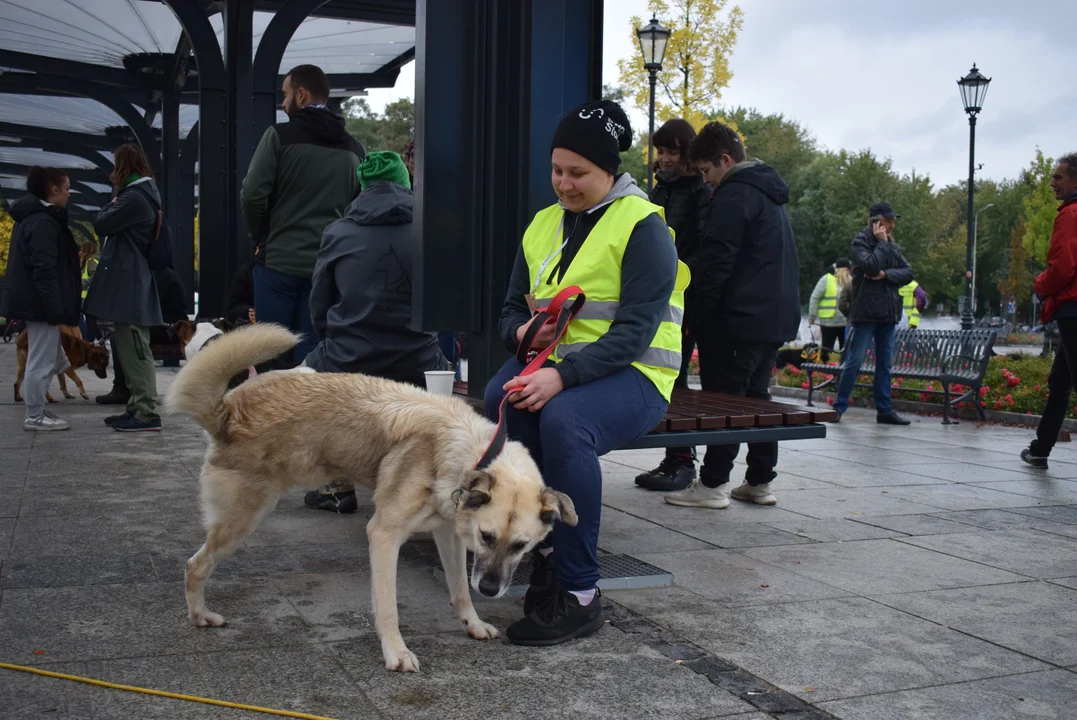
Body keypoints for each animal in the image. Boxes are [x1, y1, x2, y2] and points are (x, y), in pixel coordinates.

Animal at [165, 325, 572, 675]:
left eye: (521, 546)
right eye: (487, 537)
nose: (490, 589)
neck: (471, 452)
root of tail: (229, 411)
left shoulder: (450, 535)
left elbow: (459, 590)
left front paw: (472, 623)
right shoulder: (384, 535)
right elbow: (388, 607)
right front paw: (396, 652)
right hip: (241, 520)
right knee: (194, 566)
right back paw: (200, 616)